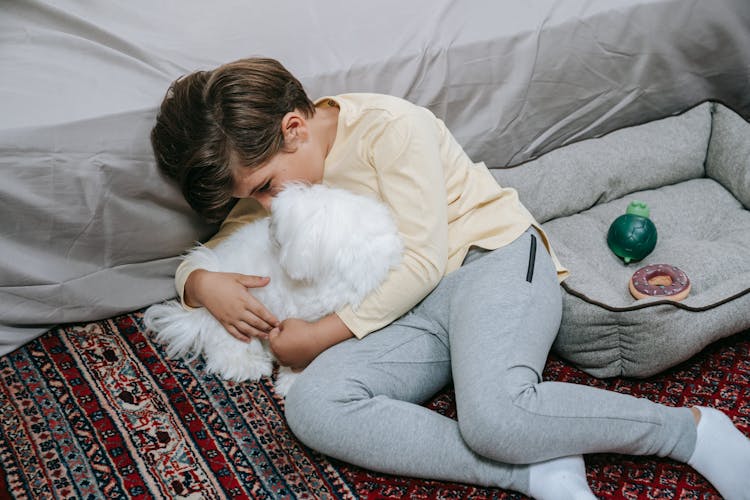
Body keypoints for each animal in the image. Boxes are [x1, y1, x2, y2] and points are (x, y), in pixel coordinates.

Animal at [143, 182, 402, 396]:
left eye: (277, 222)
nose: (268, 224)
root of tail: (199, 314)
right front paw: (290, 382)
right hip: (234, 322)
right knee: (226, 348)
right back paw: (249, 364)